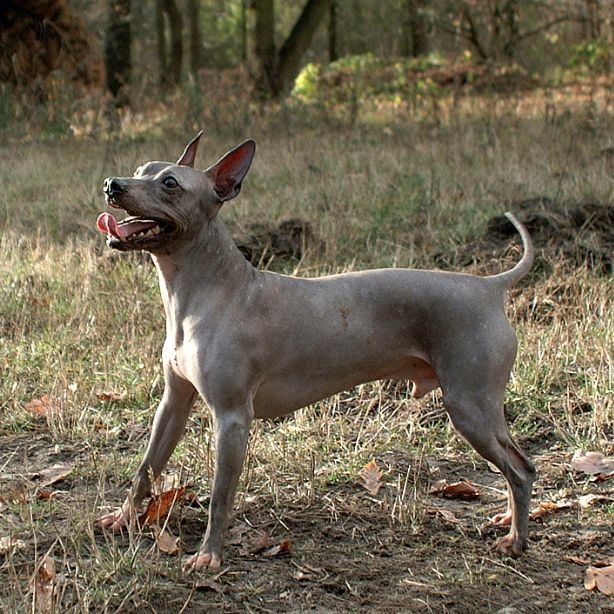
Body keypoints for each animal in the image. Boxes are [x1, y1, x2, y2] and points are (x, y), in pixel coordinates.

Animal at [96, 134, 536, 572]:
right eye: (141, 170)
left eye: (170, 183)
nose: (112, 185)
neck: (206, 292)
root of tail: (488, 286)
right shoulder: (173, 404)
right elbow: (145, 469)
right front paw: (123, 519)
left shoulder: (232, 418)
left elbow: (221, 495)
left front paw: (209, 556)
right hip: (477, 410)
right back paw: (508, 519)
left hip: (470, 408)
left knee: (522, 469)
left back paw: (516, 540)